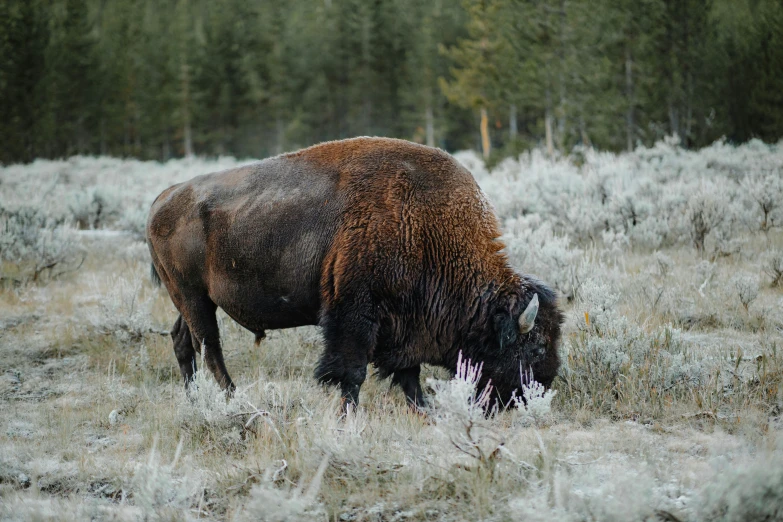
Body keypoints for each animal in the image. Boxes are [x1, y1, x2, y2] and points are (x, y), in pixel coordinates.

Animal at [147, 137, 564, 406]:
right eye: (537, 346)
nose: (540, 392)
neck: (427, 225)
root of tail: (163, 197)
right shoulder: (355, 313)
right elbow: (351, 371)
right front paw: (349, 414)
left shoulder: (405, 324)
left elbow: (408, 374)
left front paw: (424, 409)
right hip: (193, 297)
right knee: (210, 347)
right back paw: (234, 399)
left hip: (192, 300)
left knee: (183, 340)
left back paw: (195, 398)